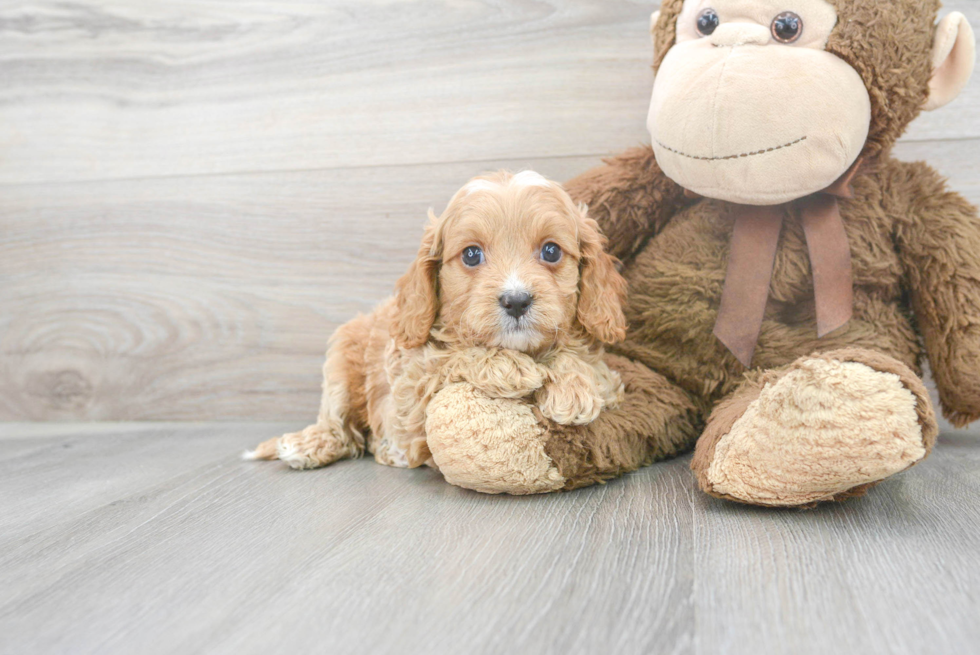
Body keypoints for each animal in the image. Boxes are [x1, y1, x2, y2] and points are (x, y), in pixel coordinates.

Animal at [245, 170, 628, 472]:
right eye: (471, 254)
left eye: (551, 251)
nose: (516, 300)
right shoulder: (409, 393)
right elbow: (447, 359)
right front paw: (508, 367)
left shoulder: (611, 377)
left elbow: (590, 365)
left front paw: (573, 387)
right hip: (342, 356)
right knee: (339, 425)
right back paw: (309, 444)